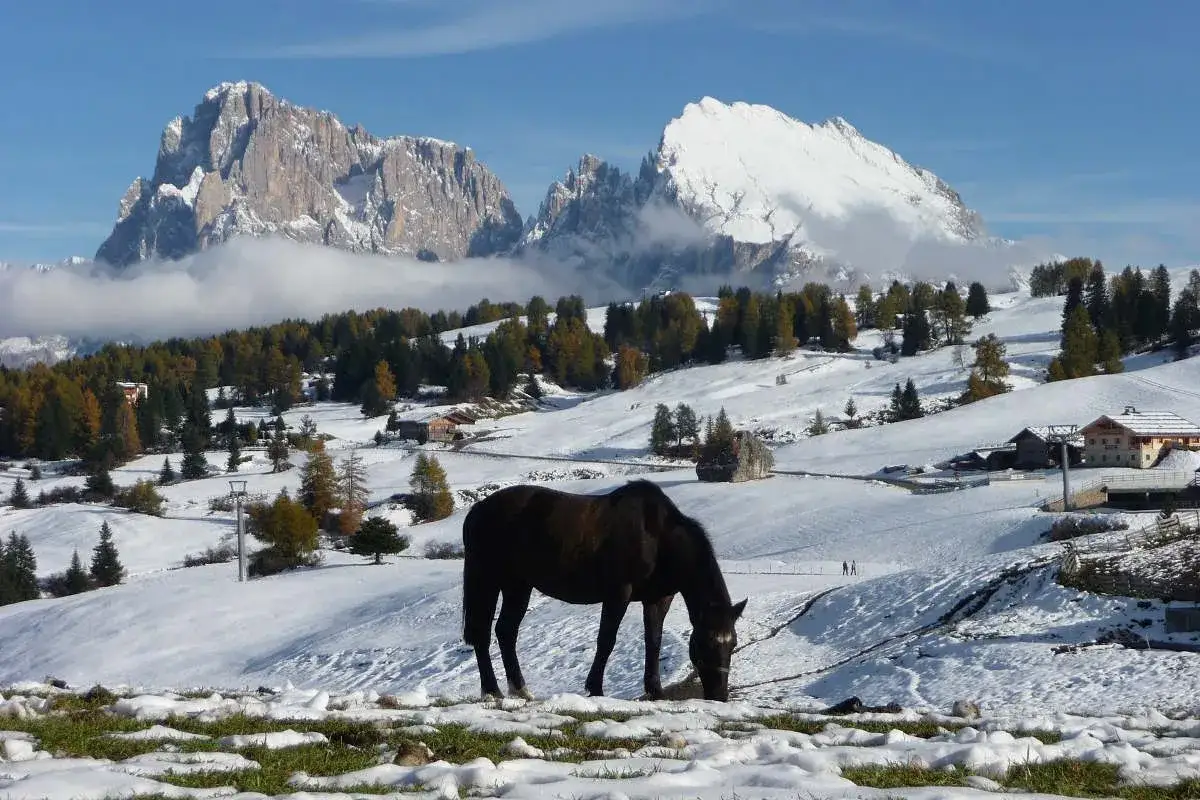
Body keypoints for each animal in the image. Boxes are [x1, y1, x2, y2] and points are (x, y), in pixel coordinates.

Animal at [461, 479, 746, 702]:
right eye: (706, 641)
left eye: (733, 643)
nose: (719, 696)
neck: (657, 538)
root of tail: (478, 510)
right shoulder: (618, 593)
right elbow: (606, 640)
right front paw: (595, 688)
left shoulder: (657, 599)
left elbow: (653, 641)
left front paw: (656, 691)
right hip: (486, 580)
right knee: (482, 634)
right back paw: (492, 691)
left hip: (517, 585)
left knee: (506, 632)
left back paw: (520, 690)